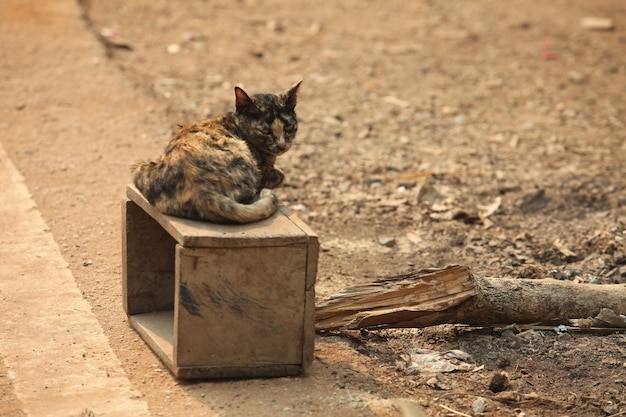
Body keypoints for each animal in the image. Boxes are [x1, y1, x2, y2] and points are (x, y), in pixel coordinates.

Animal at [132, 82, 300, 224]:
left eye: (289, 127)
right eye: (265, 131)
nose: (282, 145)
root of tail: (199, 189)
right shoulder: (265, 172)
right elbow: (281, 175)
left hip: (141, 168)